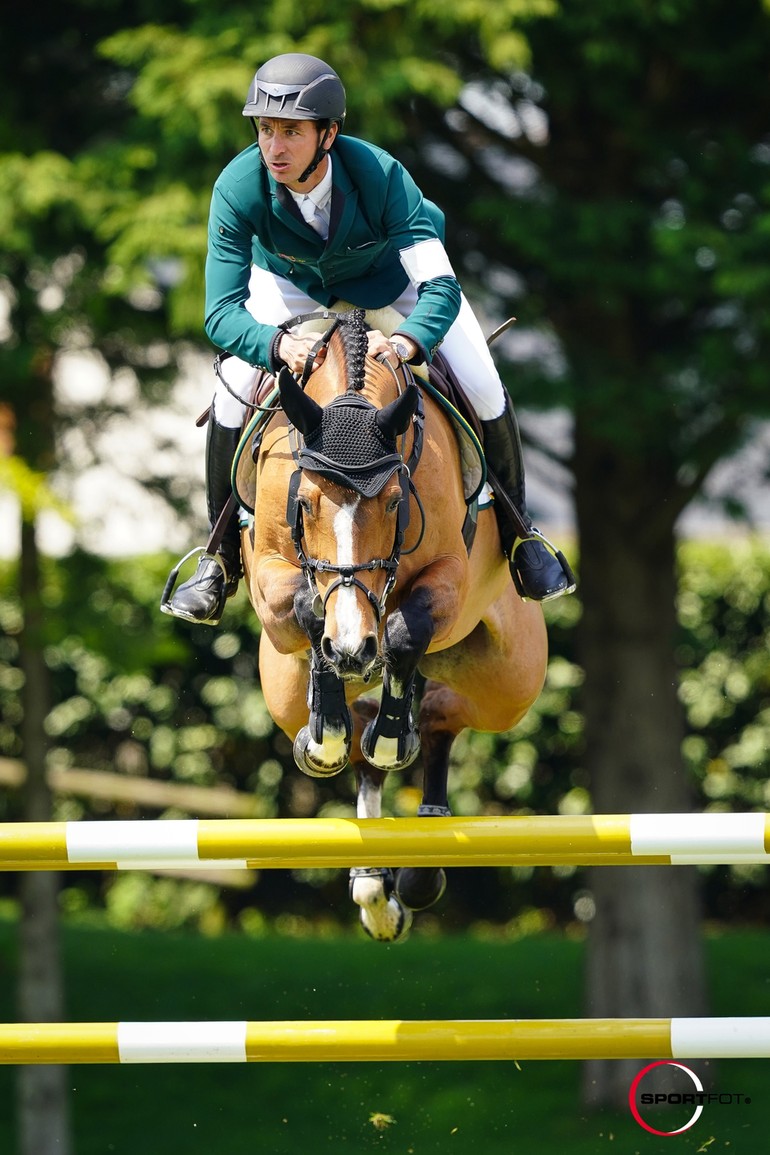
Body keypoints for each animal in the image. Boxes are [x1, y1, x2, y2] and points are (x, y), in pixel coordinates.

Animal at [241, 307, 547, 937]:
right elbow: (307, 610)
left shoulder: (448, 576)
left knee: (438, 715)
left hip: (509, 682)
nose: (355, 649)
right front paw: (329, 731)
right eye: (303, 503)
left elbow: (406, 633)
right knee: (358, 740)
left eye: (393, 502)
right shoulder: (271, 583)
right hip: (280, 689)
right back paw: (372, 884)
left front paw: (388, 736)